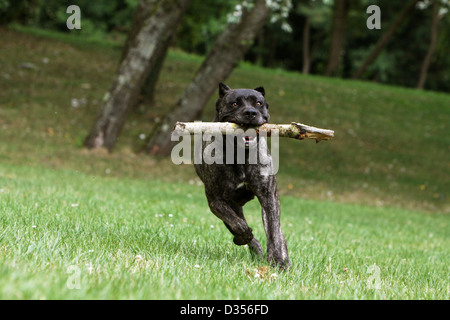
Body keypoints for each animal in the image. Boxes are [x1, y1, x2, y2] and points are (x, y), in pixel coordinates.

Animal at [194, 82, 292, 268]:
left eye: (259, 103)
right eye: (234, 104)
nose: (250, 113)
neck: (241, 154)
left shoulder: (269, 196)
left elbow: (273, 231)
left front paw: (277, 259)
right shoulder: (216, 200)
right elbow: (237, 223)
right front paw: (244, 235)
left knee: (279, 233)